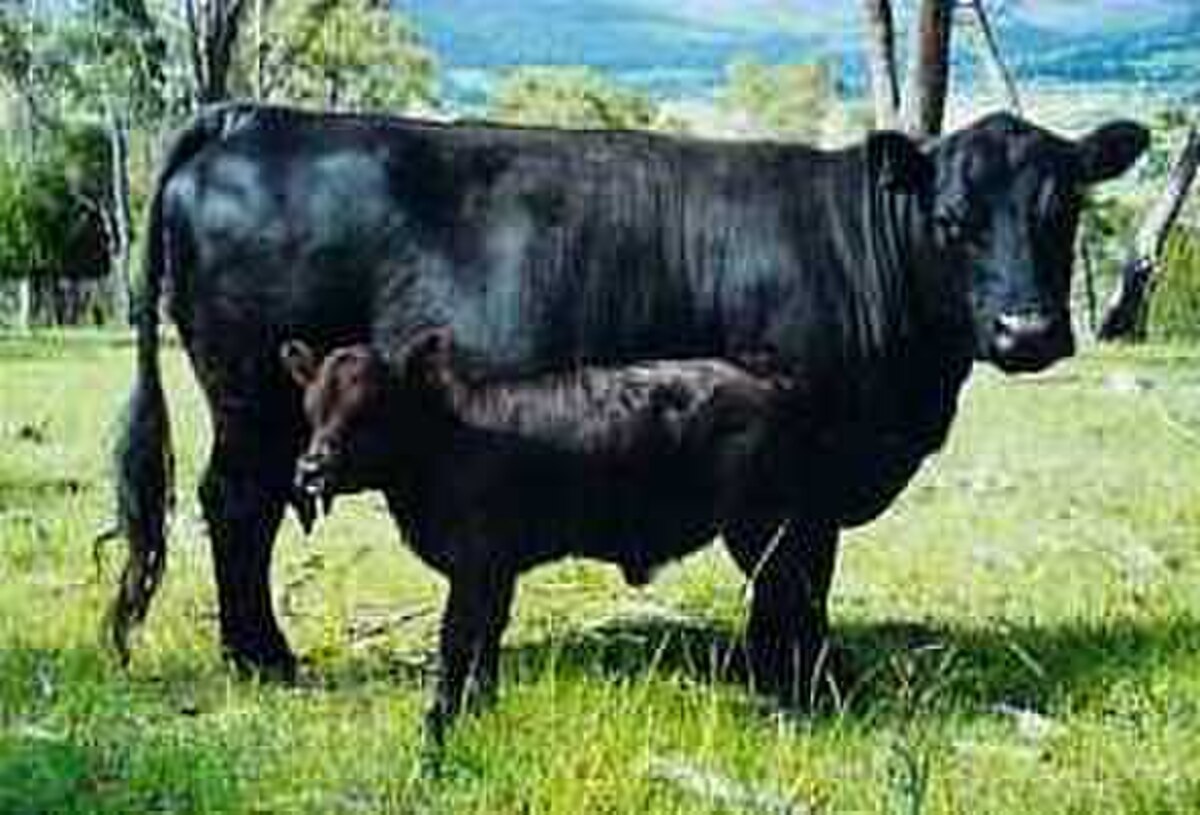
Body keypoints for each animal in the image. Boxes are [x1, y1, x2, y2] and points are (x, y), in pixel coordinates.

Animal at [280, 328, 804, 738]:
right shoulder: (495, 570)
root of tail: (764, 376)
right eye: (311, 408)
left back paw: (788, 707)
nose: (310, 471)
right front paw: (479, 711)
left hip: (763, 529)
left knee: (790, 607)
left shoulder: (475, 565)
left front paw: (439, 724)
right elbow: (486, 641)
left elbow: (455, 642)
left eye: (370, 409)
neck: (445, 443)